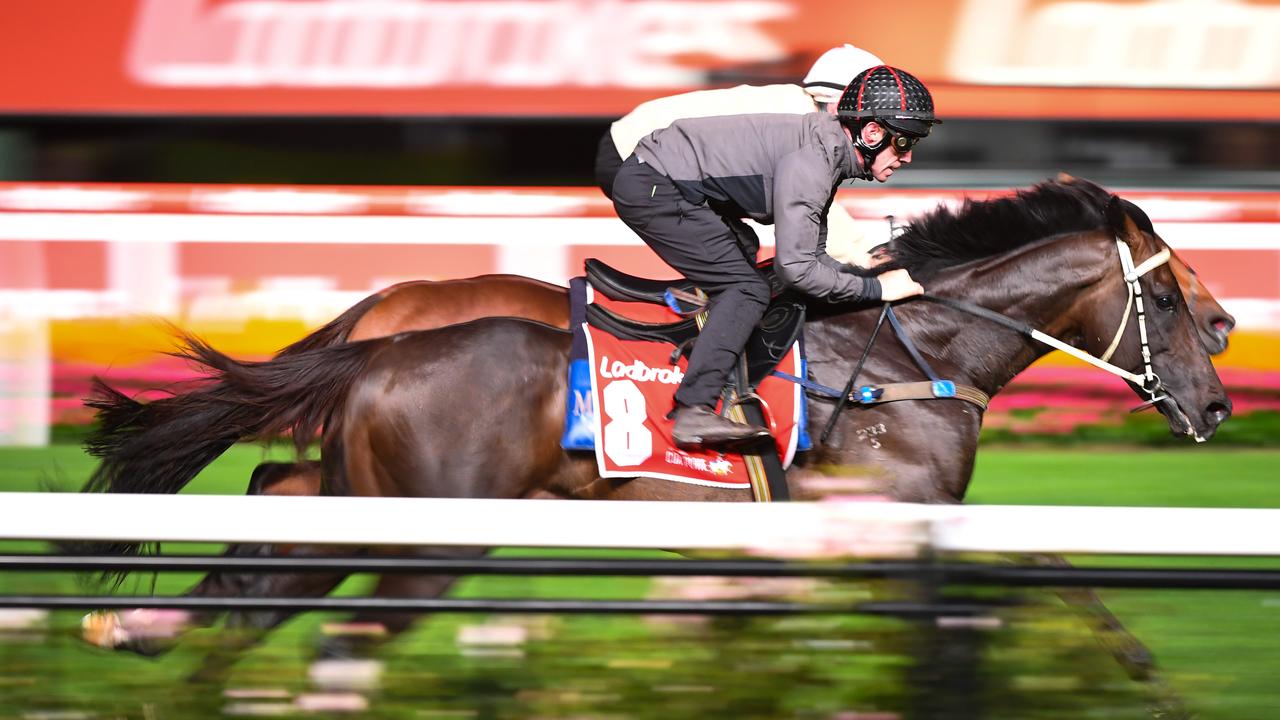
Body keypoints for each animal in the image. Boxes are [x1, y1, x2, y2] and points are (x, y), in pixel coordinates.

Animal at [77, 178, 1228, 691]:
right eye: (1169, 297)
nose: (1217, 402)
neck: (909, 354)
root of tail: (381, 329)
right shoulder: (894, 517)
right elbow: (1046, 566)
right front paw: (1146, 672)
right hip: (425, 521)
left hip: (361, 496)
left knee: (268, 531)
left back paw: (155, 643)